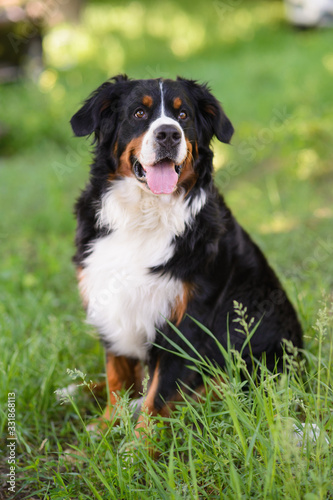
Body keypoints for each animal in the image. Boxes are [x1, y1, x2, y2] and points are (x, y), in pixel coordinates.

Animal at [71, 74, 302, 434]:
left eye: (183, 116)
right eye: (139, 113)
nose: (168, 133)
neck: (145, 214)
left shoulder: (188, 320)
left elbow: (157, 397)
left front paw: (138, 444)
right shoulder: (108, 296)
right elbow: (117, 376)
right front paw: (107, 427)